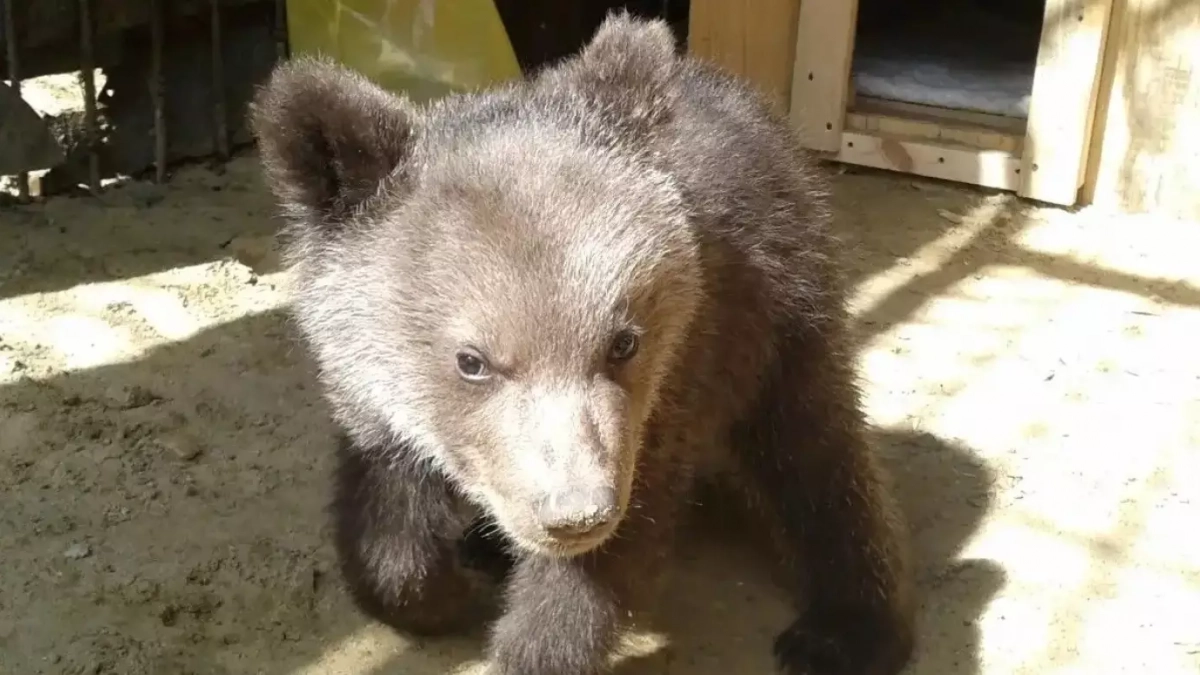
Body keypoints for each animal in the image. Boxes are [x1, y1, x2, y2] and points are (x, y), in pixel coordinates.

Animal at [249, 11, 916, 675]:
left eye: (623, 342)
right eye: (472, 361)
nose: (576, 514)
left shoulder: (670, 392)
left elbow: (596, 573)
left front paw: (529, 643)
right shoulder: (375, 407)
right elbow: (386, 518)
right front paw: (437, 590)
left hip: (783, 316)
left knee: (816, 455)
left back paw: (844, 630)